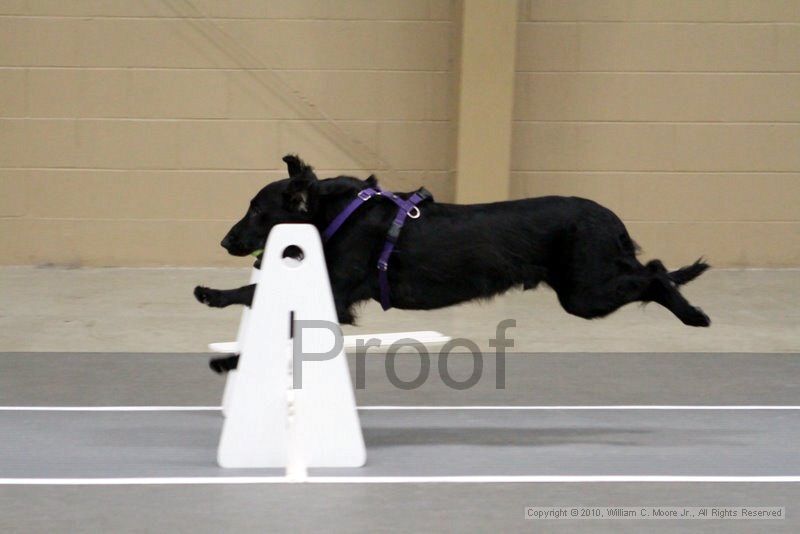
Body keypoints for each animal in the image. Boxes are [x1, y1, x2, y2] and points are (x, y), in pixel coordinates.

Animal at [197, 155, 708, 372]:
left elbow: (253, 292)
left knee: (656, 273)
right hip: (587, 288)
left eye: (257, 212)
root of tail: (611, 218)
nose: (224, 241)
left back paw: (694, 315)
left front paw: (215, 311)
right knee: (654, 268)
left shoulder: (336, 293)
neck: (335, 214)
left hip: (586, 292)